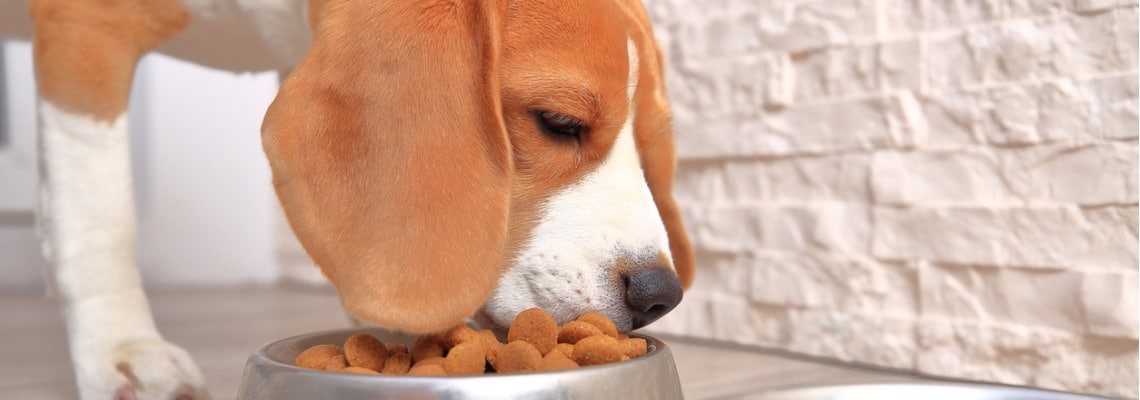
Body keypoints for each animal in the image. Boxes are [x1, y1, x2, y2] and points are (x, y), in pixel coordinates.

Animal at [26, 0, 693, 398]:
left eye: (650, 144)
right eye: (558, 122)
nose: (660, 295)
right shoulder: (83, 32)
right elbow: (97, 214)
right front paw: (122, 348)